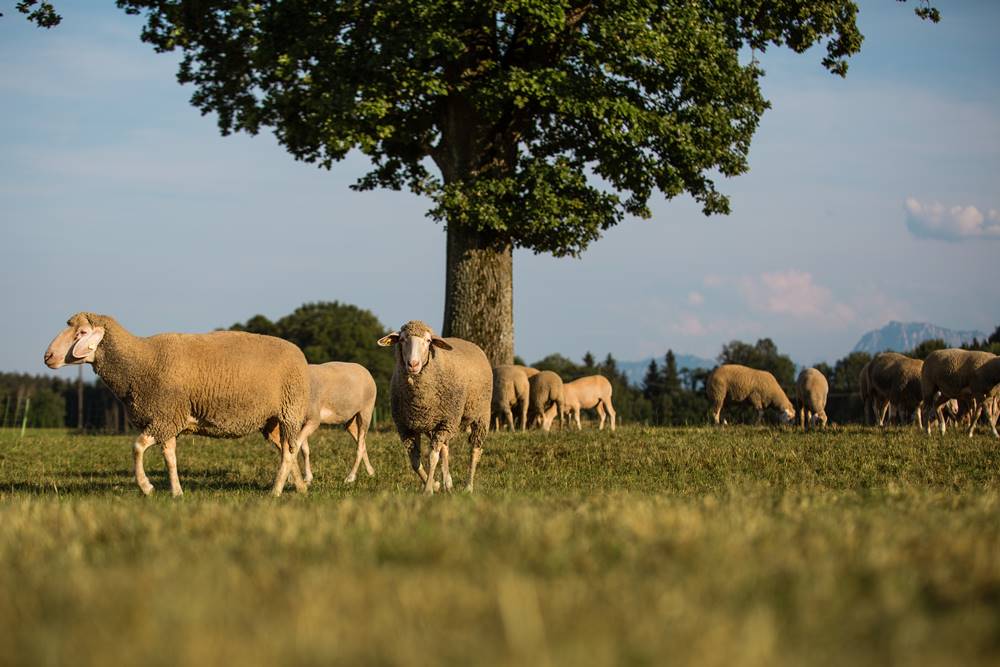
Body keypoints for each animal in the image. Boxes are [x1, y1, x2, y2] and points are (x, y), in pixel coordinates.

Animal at [44, 314, 308, 496]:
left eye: (82, 332)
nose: (47, 357)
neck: (138, 364)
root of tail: (299, 353)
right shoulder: (167, 420)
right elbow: (170, 457)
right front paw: (177, 493)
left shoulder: (163, 418)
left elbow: (137, 448)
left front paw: (147, 487)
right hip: (272, 420)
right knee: (287, 448)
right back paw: (300, 487)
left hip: (290, 410)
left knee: (289, 452)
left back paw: (275, 491)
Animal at [376, 320, 492, 494]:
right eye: (402, 340)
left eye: (428, 341)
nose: (413, 364)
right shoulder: (406, 427)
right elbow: (415, 461)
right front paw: (435, 484)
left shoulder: (446, 421)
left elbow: (432, 457)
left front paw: (428, 490)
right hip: (437, 424)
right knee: (445, 449)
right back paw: (447, 483)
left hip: (480, 415)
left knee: (475, 450)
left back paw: (468, 487)